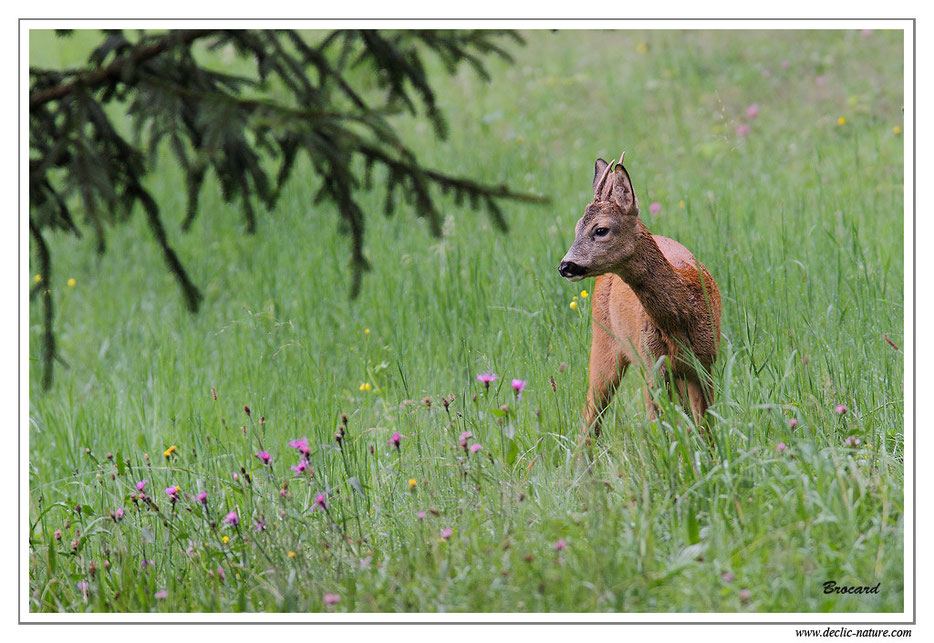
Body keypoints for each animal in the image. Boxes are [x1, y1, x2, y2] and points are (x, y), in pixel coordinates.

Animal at [560, 156, 720, 438]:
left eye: (600, 229)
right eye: (577, 226)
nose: (565, 266)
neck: (682, 318)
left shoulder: (706, 364)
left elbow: (706, 429)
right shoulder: (652, 367)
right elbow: (663, 431)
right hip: (604, 343)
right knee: (591, 417)